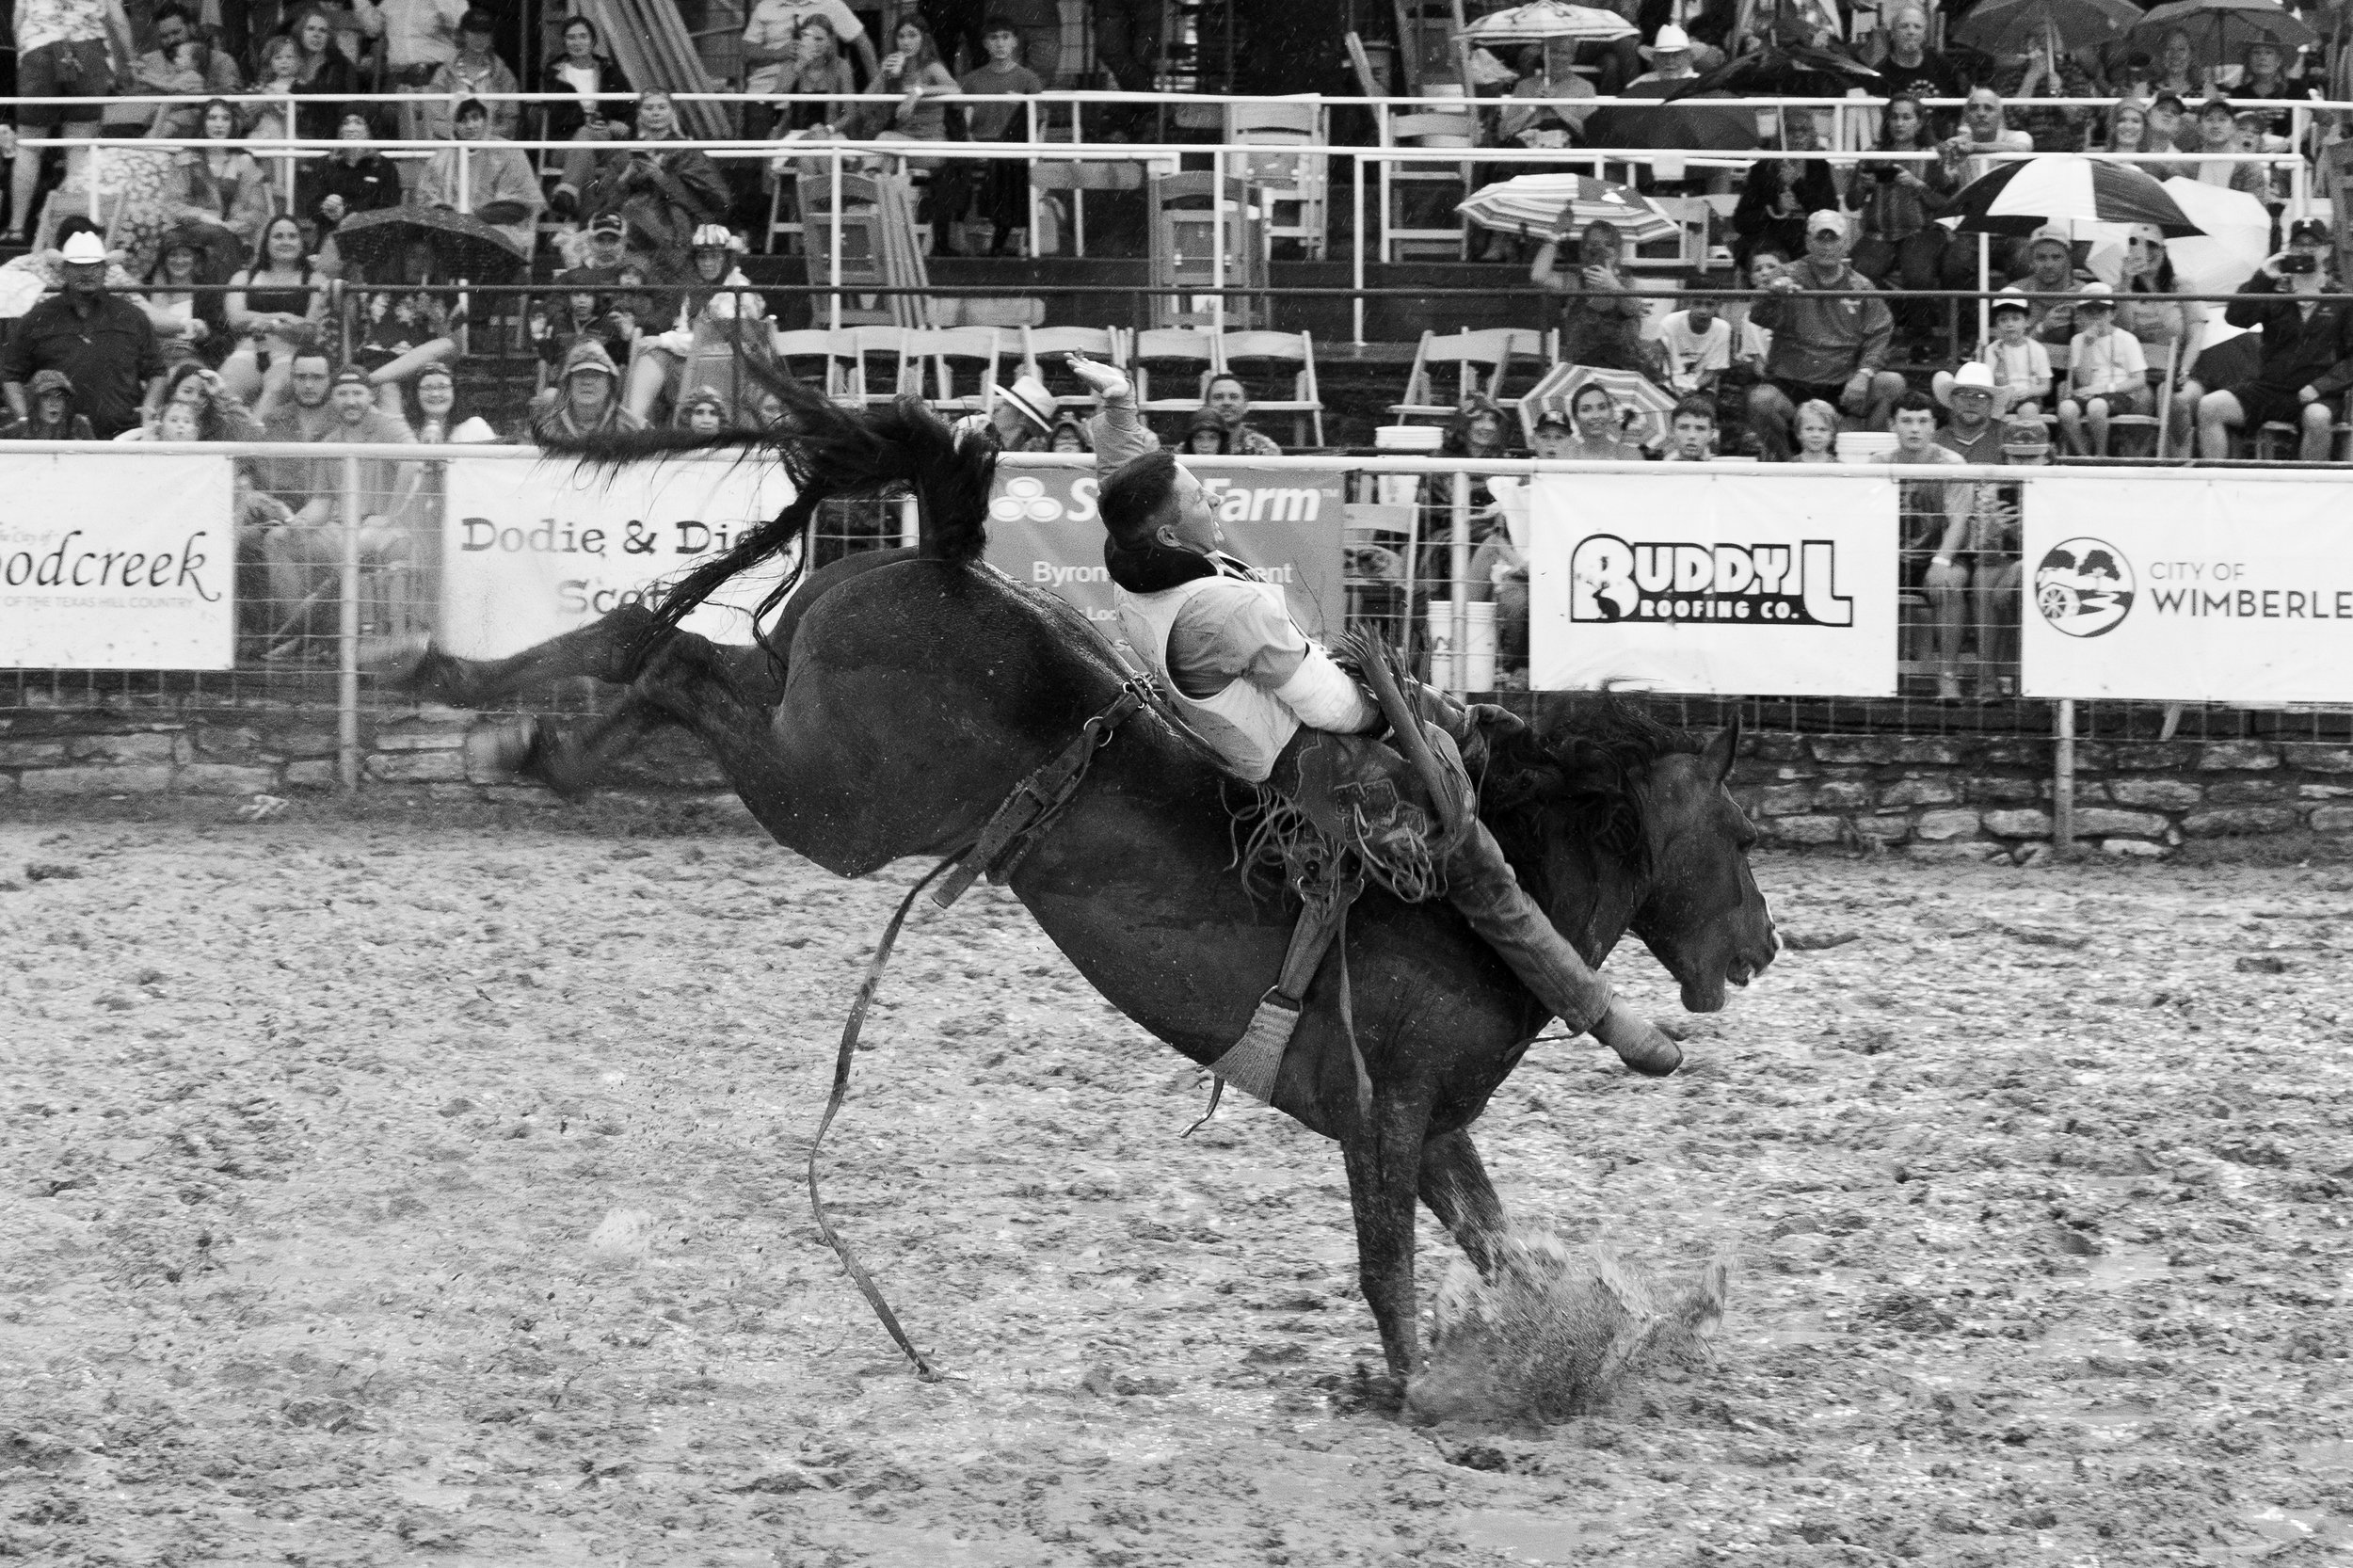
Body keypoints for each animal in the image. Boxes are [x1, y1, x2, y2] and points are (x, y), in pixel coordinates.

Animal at [396, 388, 1779, 1398]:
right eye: (1741, 830)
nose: (1766, 946)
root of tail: (952, 556)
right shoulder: (1385, 1119)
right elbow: (1388, 1267)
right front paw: (1417, 1391)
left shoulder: (1435, 1129)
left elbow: (1492, 1245)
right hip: (834, 798)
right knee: (663, 659)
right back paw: (497, 721)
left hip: (801, 725)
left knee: (656, 645)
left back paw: (483, 704)